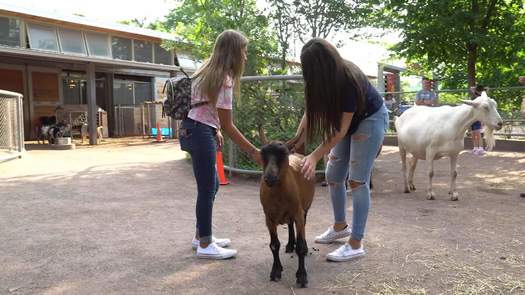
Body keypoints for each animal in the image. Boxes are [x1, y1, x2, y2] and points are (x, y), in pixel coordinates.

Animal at [258, 142, 314, 290]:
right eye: (263, 154)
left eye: (283, 153)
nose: (269, 178)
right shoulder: (269, 218)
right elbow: (274, 245)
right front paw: (276, 271)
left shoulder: (298, 212)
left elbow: (300, 246)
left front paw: (302, 277)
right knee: (289, 224)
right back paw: (289, 245)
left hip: (304, 208)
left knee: (302, 224)